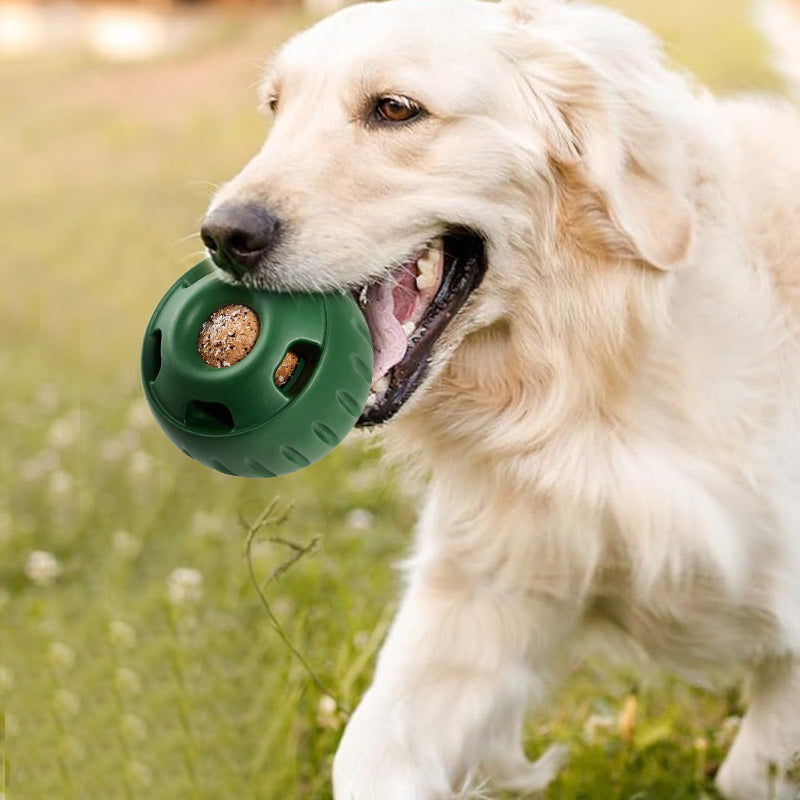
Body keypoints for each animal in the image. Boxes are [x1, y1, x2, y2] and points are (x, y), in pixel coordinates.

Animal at [198, 3, 800, 796]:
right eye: (276, 108)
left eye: (396, 109)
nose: (223, 234)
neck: (587, 380)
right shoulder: (479, 599)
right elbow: (365, 754)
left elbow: (749, 770)